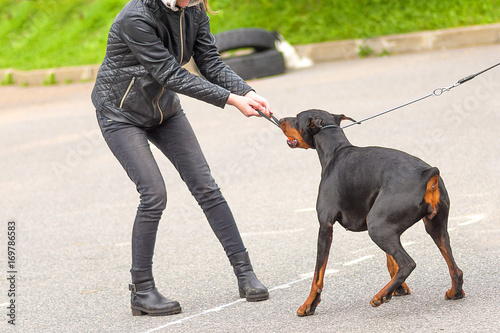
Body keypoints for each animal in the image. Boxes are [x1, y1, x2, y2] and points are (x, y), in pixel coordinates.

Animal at [282, 109, 464, 316]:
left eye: (297, 118)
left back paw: (380, 296)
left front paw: (308, 305)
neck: (335, 150)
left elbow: (318, 274)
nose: (280, 120)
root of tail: (428, 173)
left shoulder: (325, 226)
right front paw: (399, 289)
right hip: (432, 226)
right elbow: (390, 261)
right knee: (455, 268)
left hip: (377, 227)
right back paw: (454, 292)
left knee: (408, 263)